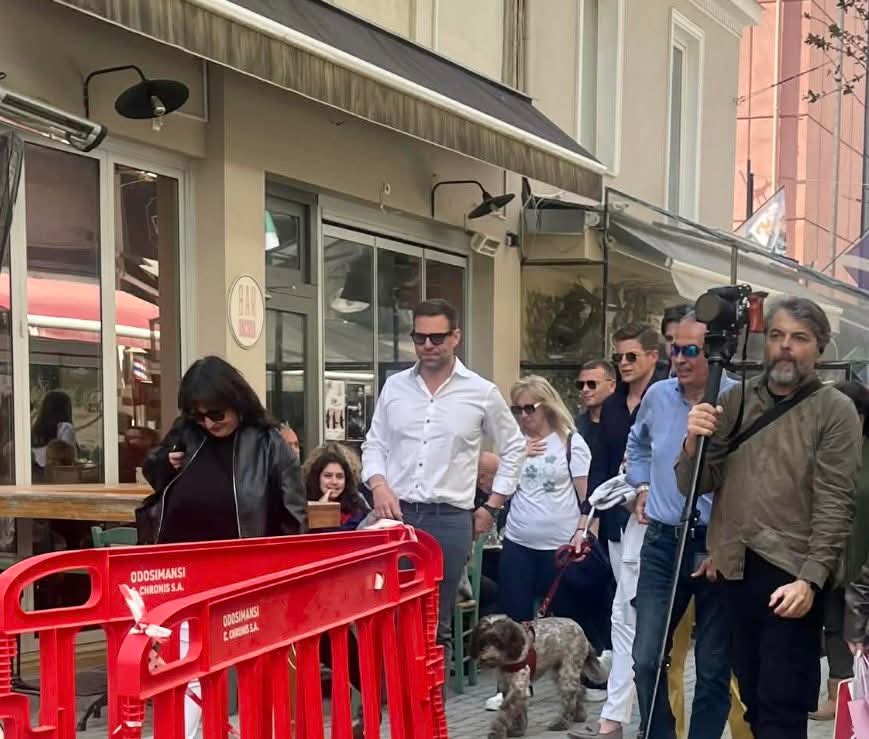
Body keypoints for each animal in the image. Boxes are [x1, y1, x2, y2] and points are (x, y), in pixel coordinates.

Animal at [469, 615, 607, 739]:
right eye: (482, 642)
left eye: (497, 641)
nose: (486, 659)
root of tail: (581, 630)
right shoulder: (507, 685)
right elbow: (518, 709)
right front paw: (517, 729)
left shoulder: (518, 686)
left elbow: (505, 711)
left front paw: (496, 732)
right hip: (558, 672)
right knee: (578, 690)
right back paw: (579, 715)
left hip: (567, 670)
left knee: (569, 696)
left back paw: (561, 723)